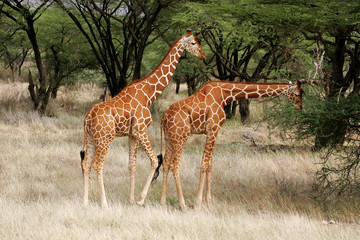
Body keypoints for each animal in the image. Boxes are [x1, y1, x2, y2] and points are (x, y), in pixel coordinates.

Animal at [80, 29, 207, 206]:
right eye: (193, 42)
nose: (203, 55)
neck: (149, 94)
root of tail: (88, 118)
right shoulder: (140, 130)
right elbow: (154, 160)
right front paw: (141, 199)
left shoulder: (132, 134)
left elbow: (132, 165)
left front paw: (132, 199)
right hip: (105, 138)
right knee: (98, 165)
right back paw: (104, 203)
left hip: (92, 138)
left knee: (86, 164)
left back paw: (85, 202)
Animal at [157, 80, 304, 208]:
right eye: (297, 94)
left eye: (302, 92)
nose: (300, 107)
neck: (224, 95)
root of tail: (165, 116)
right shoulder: (212, 130)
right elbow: (204, 164)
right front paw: (198, 202)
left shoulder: (213, 132)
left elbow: (210, 165)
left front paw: (209, 202)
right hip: (181, 137)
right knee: (174, 165)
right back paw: (182, 204)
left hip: (169, 138)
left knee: (166, 163)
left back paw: (163, 202)